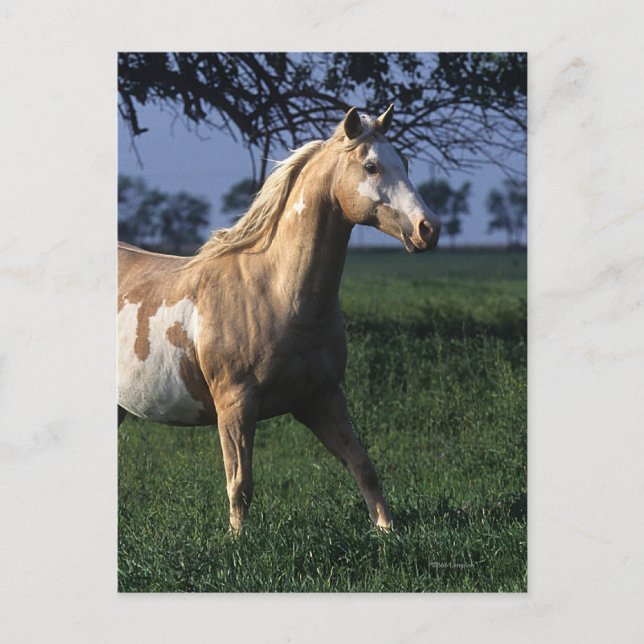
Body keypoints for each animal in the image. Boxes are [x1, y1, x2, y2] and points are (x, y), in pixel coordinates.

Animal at [118, 104, 441, 533]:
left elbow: (363, 466)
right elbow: (240, 483)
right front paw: (238, 541)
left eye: (403, 162)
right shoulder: (236, 405)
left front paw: (387, 530)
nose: (429, 229)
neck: (276, 292)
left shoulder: (322, 399)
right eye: (371, 166)